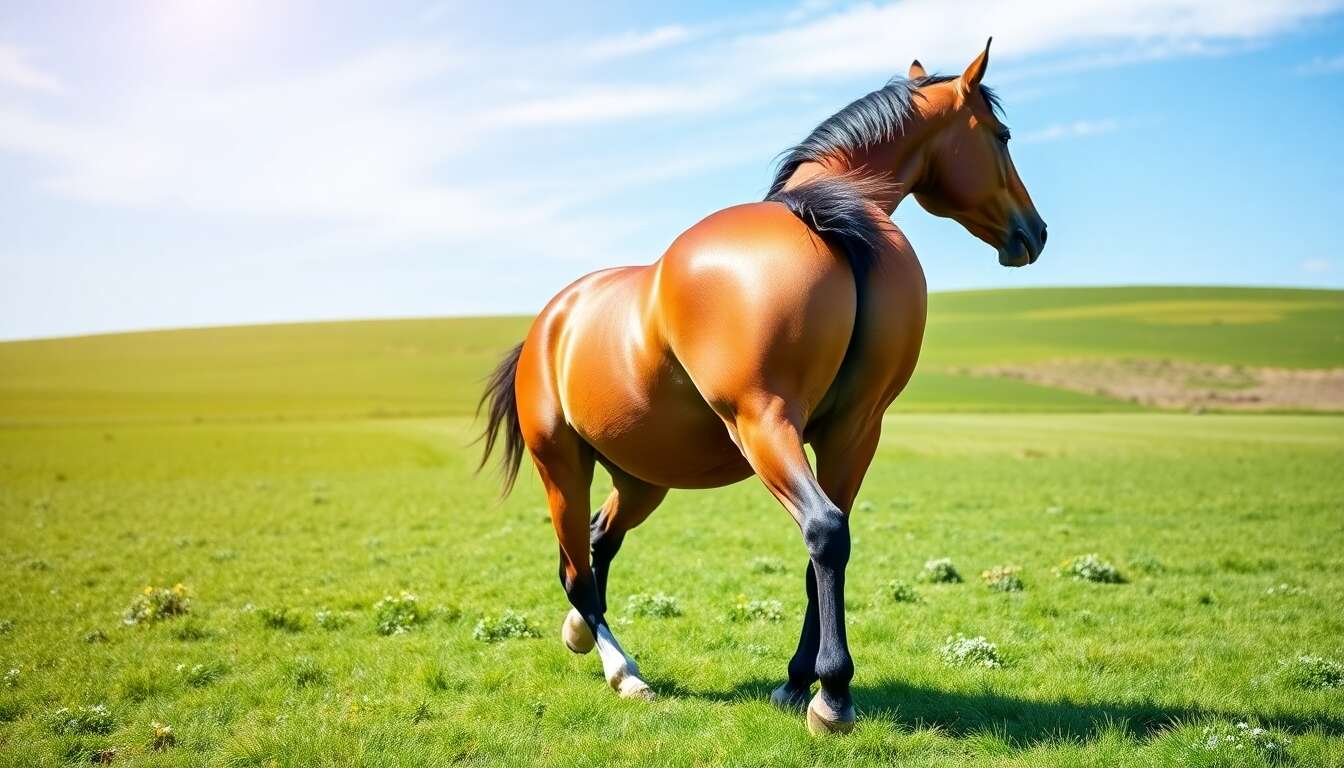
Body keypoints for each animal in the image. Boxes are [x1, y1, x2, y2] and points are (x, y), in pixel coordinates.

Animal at [478, 40, 1045, 735]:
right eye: (1003, 135)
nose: (1035, 231)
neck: (829, 223)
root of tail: (548, 324)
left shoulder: (854, 431)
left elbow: (822, 549)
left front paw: (800, 681)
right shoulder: (770, 421)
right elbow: (826, 533)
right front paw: (828, 692)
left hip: (643, 478)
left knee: (595, 544)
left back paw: (583, 636)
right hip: (567, 461)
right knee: (579, 570)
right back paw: (625, 672)